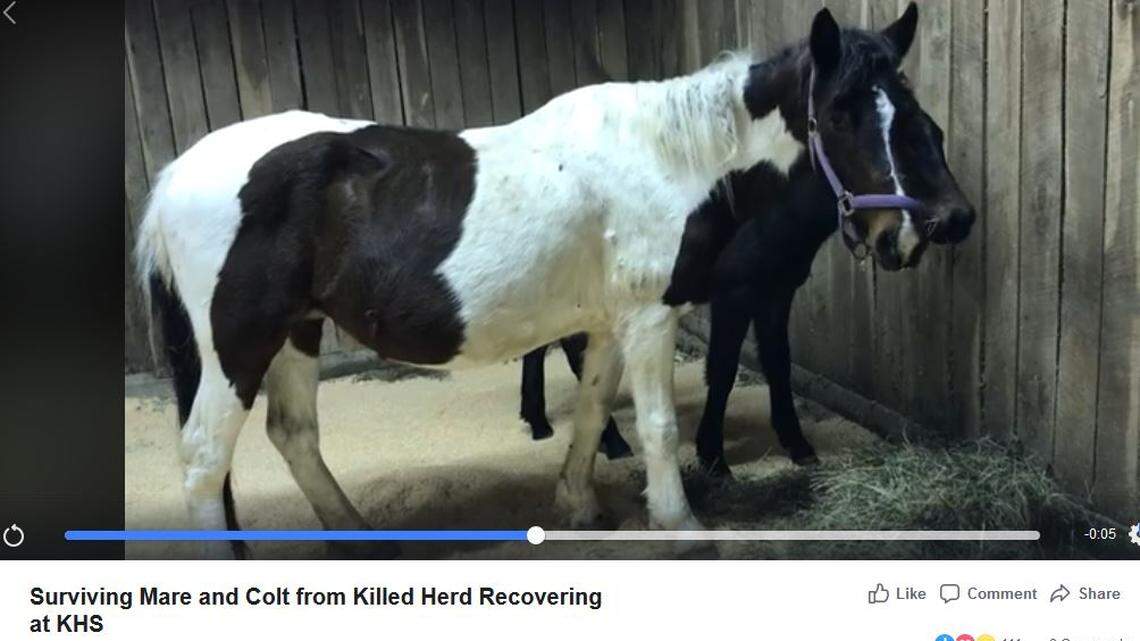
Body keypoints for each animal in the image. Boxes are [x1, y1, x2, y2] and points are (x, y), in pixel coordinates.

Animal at [517, 3, 976, 476]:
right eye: (837, 118)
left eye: (929, 127)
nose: (952, 220)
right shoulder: (733, 294)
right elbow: (722, 368)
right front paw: (713, 456)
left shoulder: (776, 291)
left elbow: (778, 362)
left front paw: (796, 443)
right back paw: (606, 438)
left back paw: (539, 420)